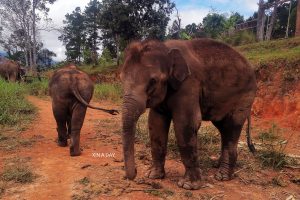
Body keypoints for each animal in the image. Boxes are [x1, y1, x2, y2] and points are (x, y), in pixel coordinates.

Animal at [120, 39, 256, 191]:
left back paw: (222, 176)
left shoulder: (189, 84)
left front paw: (188, 186)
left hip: (244, 98)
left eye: (153, 81)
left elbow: (185, 123)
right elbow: (155, 123)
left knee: (231, 128)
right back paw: (217, 166)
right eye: (121, 79)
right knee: (223, 128)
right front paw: (153, 176)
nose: (135, 172)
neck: (165, 48)